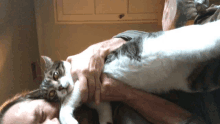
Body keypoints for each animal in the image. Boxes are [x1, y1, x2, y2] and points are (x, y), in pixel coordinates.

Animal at [40, 19, 220, 124]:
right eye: (51, 94)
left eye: (55, 74)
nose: (61, 88)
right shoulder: (99, 99)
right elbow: (104, 111)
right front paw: (106, 121)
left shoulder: (85, 80)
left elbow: (65, 104)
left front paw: (67, 118)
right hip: (194, 79)